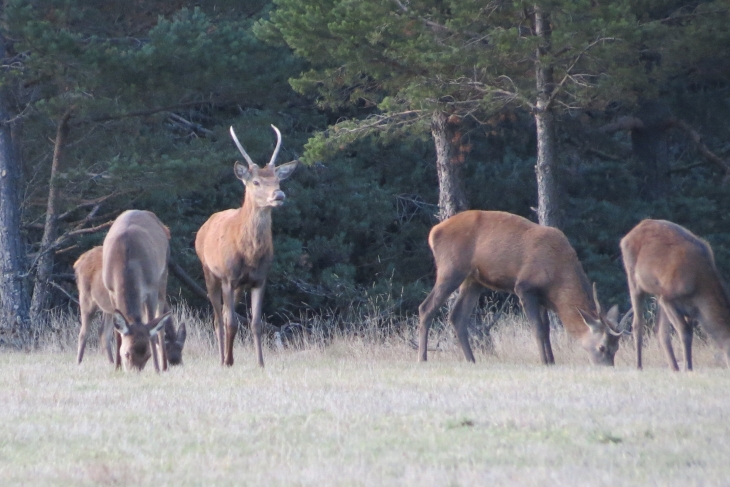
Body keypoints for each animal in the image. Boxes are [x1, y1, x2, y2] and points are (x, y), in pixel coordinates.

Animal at [102, 210, 173, 374]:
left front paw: (157, 368)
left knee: (160, 323)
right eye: (126, 353)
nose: (135, 372)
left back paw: (164, 366)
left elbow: (152, 328)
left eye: (148, 354)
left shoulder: (151, 288)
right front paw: (117, 367)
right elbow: (118, 333)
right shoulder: (110, 290)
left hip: (163, 275)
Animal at [195, 124, 298, 368]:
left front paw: (260, 363)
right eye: (256, 182)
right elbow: (232, 322)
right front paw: (228, 361)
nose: (279, 195)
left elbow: (256, 323)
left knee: (224, 314)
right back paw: (221, 358)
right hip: (209, 272)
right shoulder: (228, 277)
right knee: (218, 318)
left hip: (238, 286)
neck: (250, 253)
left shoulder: (259, 279)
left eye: (278, 181)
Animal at [416, 210, 624, 366]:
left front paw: (552, 361)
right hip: (451, 268)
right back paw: (423, 358)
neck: (557, 281)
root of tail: (433, 232)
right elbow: (538, 329)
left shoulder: (542, 297)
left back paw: (471, 360)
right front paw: (543, 362)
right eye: (602, 347)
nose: (607, 367)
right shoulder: (525, 287)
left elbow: (547, 330)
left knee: (457, 316)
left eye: (617, 348)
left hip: (473, 280)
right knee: (426, 307)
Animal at [616, 219, 728, 372]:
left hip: (658, 292)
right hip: (633, 278)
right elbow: (685, 331)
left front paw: (686, 366)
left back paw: (674, 367)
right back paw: (639, 366)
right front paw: (688, 368)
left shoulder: (688, 308)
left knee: (660, 330)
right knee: (637, 324)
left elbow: (684, 331)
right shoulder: (669, 298)